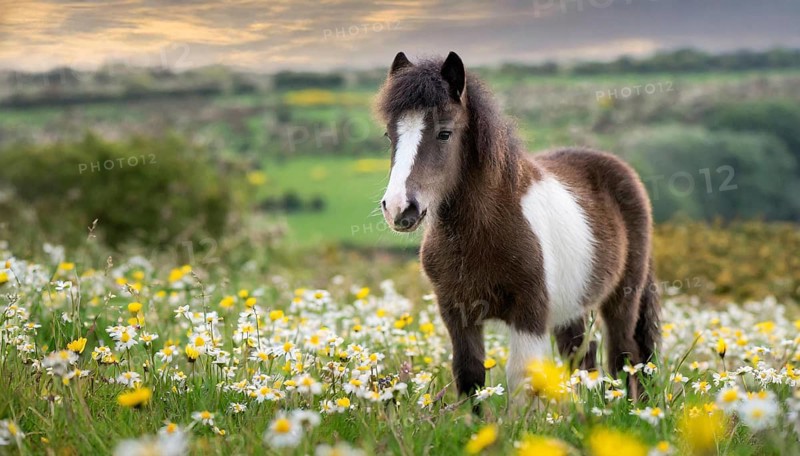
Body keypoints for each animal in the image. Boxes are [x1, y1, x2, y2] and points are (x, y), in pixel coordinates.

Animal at [376, 51, 660, 401]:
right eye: (390, 135)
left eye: (445, 133)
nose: (399, 208)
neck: (480, 231)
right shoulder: (457, 313)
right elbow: (469, 375)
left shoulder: (528, 315)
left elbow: (521, 380)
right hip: (571, 309)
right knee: (584, 359)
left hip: (623, 297)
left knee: (626, 357)